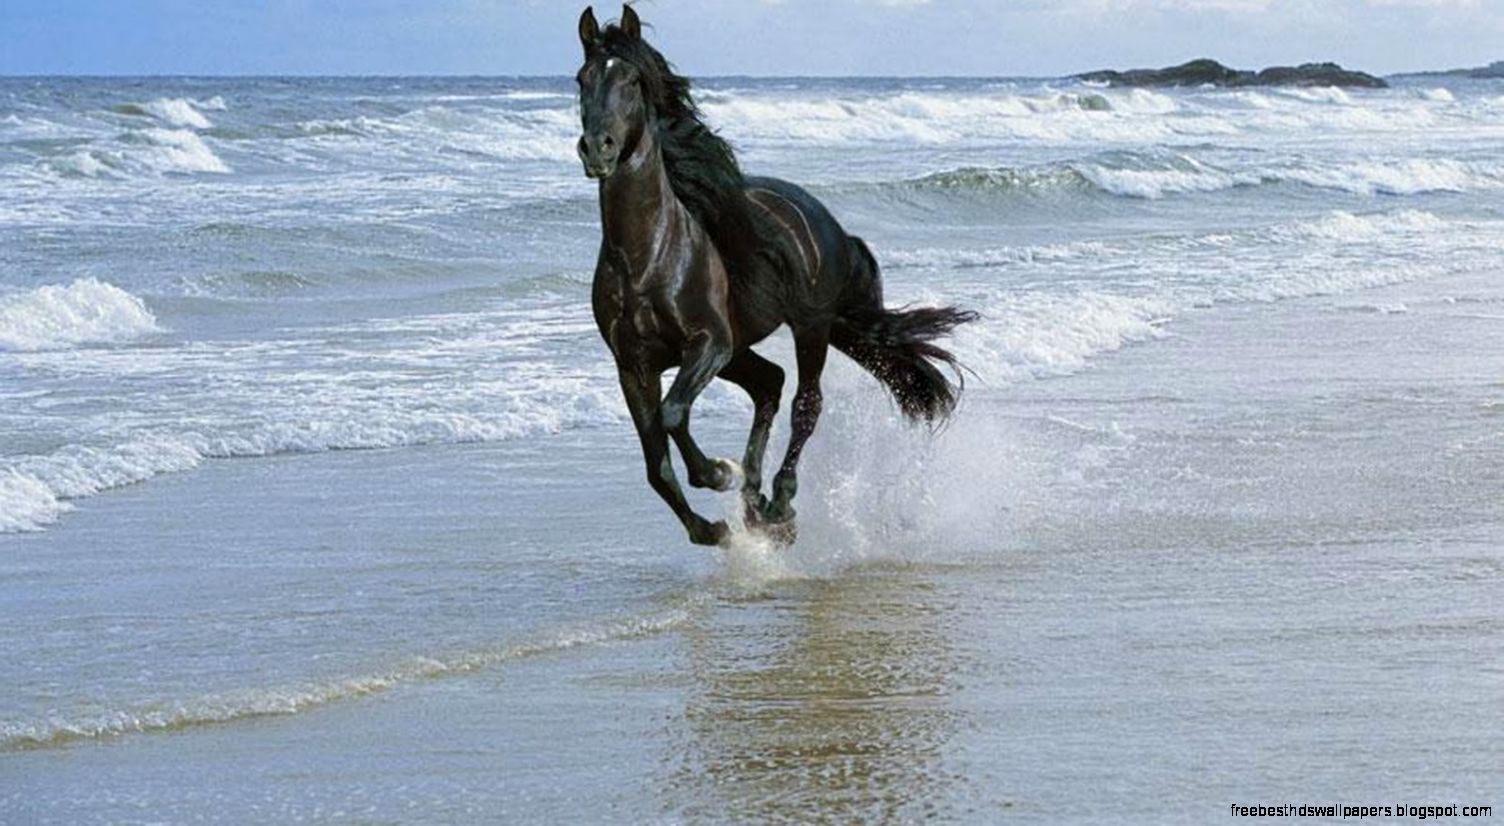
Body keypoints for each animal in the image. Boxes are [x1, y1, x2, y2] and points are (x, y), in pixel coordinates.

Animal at [575, 5, 977, 547]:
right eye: (582, 79)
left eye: (633, 81)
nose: (598, 149)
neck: (647, 258)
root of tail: (826, 222)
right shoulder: (633, 366)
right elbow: (656, 465)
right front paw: (713, 527)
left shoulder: (708, 343)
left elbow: (674, 415)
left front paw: (719, 473)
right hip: (744, 349)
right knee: (770, 383)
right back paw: (754, 502)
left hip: (808, 327)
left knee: (805, 403)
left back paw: (779, 503)